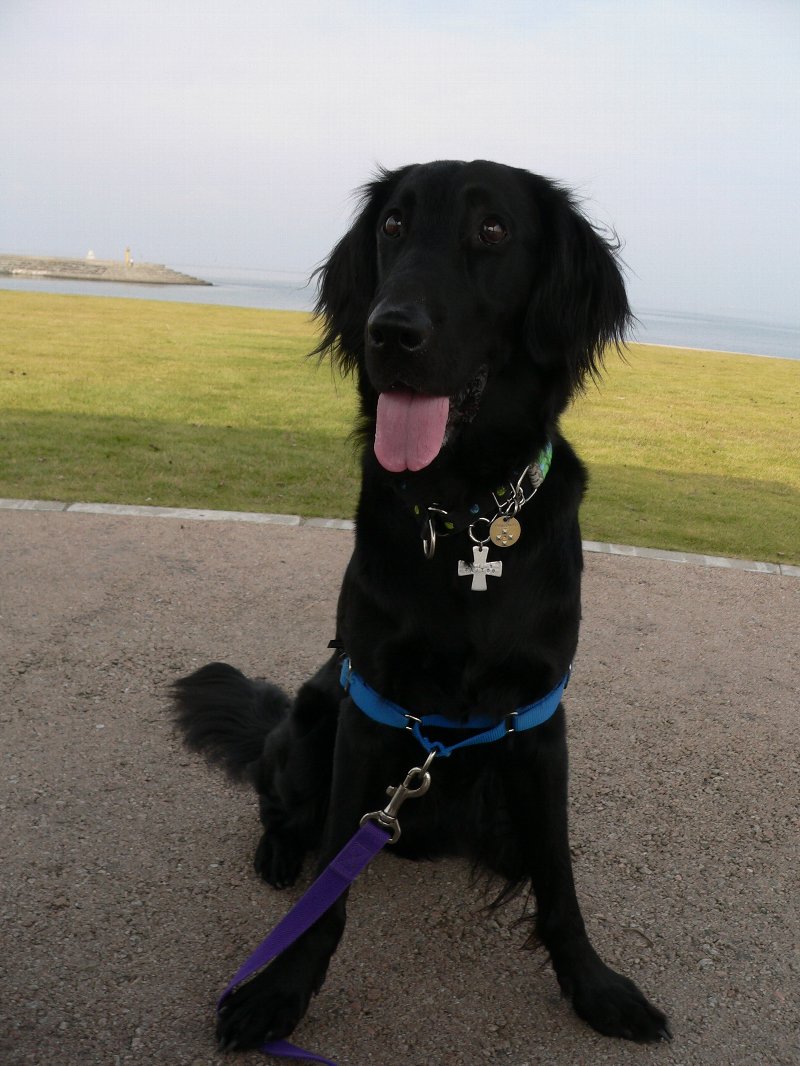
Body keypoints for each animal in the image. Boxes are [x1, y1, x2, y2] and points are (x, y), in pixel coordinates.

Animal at [172, 159, 670, 1051]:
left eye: (494, 230)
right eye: (393, 226)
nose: (389, 332)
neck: (464, 510)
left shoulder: (540, 719)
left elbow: (559, 879)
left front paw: (594, 987)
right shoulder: (369, 706)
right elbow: (326, 898)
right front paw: (281, 991)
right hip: (310, 722)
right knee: (282, 807)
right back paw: (278, 854)